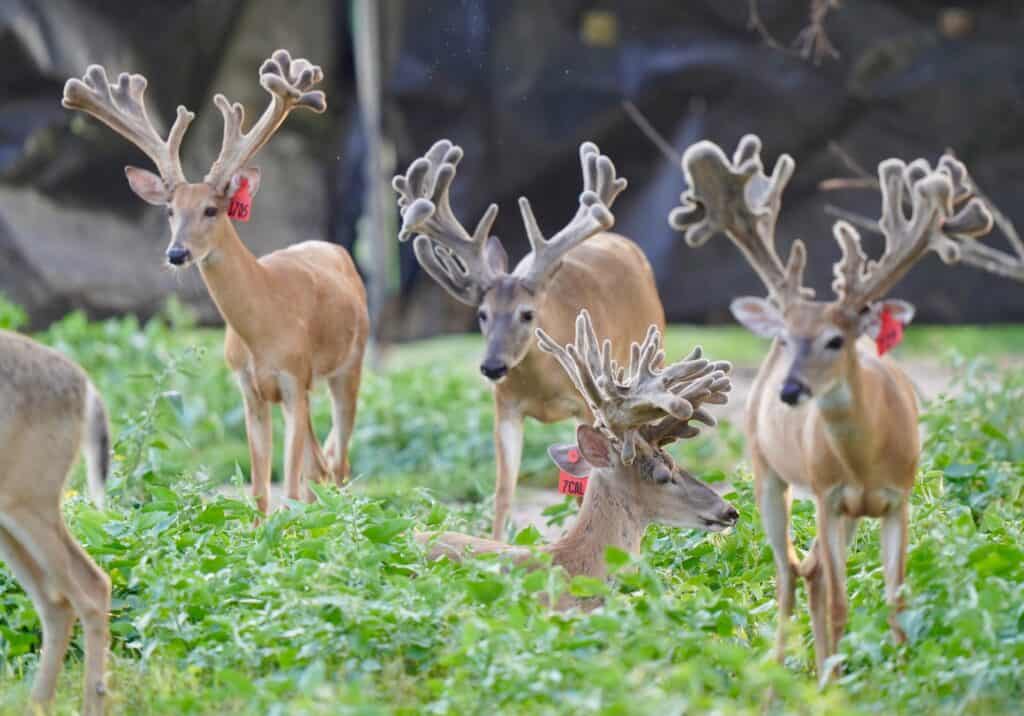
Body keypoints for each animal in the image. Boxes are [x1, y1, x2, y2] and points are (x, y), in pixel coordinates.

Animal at [63, 50, 369, 514]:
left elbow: (289, 486)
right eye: (170, 210)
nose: (176, 254)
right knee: (321, 465)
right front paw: (263, 530)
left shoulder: (294, 379)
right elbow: (261, 490)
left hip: (349, 366)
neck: (264, 329)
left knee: (339, 461)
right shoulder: (250, 388)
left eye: (211, 209)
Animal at [393, 140, 665, 539]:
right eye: (482, 314)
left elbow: (589, 482)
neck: (543, 385)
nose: (492, 366)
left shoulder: (590, 405)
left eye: (527, 313)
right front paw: (495, 543)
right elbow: (504, 489)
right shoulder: (505, 405)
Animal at [668, 134, 993, 677]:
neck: (866, 461)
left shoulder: (898, 498)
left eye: (836, 340)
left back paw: (821, 671)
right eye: (786, 337)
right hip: (769, 474)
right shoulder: (827, 496)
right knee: (787, 577)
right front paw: (844, 681)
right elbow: (841, 604)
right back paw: (786, 678)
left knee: (813, 571)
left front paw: (904, 677)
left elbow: (897, 601)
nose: (790, 391)